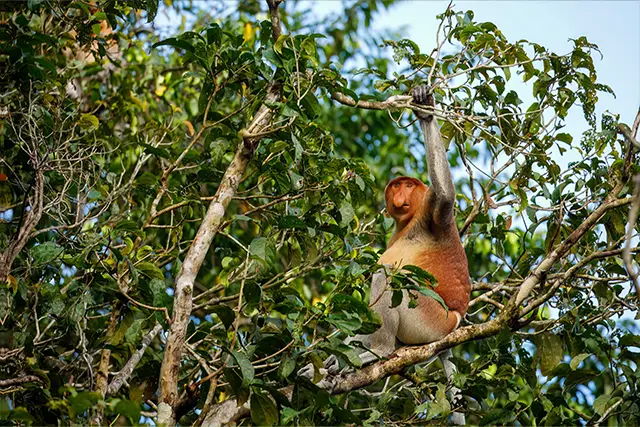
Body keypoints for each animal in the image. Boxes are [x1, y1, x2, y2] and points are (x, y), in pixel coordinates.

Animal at [299, 85, 470, 424]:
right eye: (395, 187)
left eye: (408, 185)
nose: (399, 195)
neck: (410, 221)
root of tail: (456, 318)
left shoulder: (434, 214)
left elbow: (445, 196)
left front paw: (425, 110)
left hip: (430, 320)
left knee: (391, 277)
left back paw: (377, 351)